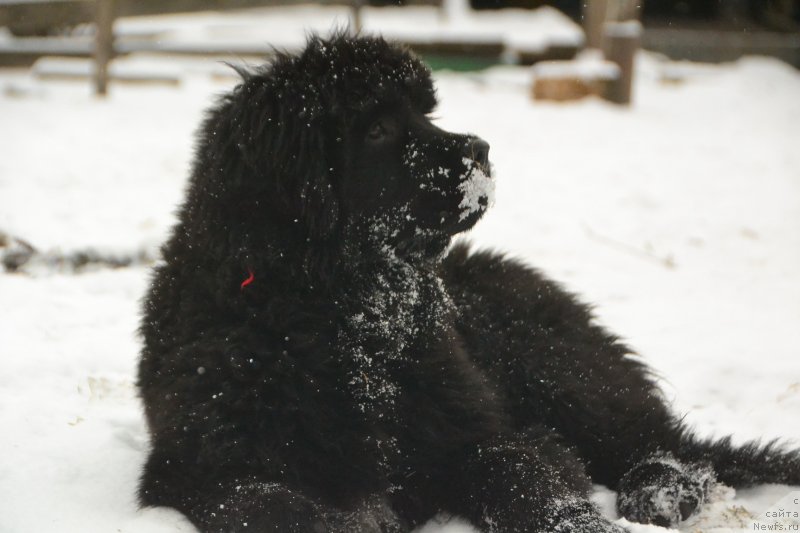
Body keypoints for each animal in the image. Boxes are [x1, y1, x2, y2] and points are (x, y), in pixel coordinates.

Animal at [139, 35, 800, 528]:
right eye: (377, 129)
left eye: (425, 112)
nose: (480, 148)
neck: (345, 314)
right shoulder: (200, 465)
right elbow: (269, 504)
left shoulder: (473, 432)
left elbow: (522, 476)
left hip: (557, 368)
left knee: (661, 442)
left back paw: (659, 491)